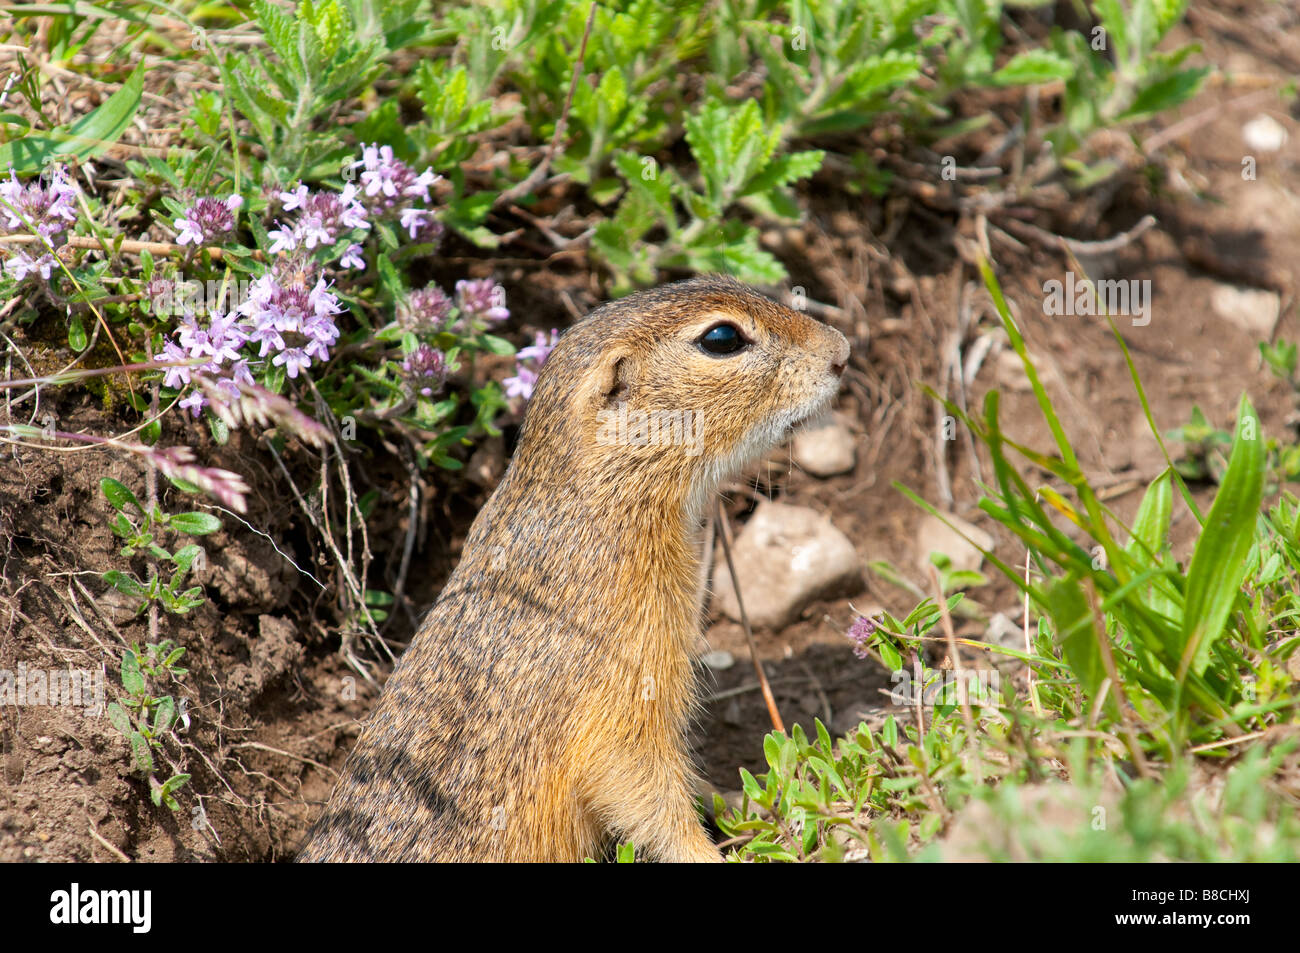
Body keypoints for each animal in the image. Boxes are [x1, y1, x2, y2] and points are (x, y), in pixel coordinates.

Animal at [299, 275, 850, 862]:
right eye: (721, 338)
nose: (841, 350)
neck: (603, 499)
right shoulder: (623, 697)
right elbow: (645, 794)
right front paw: (712, 851)